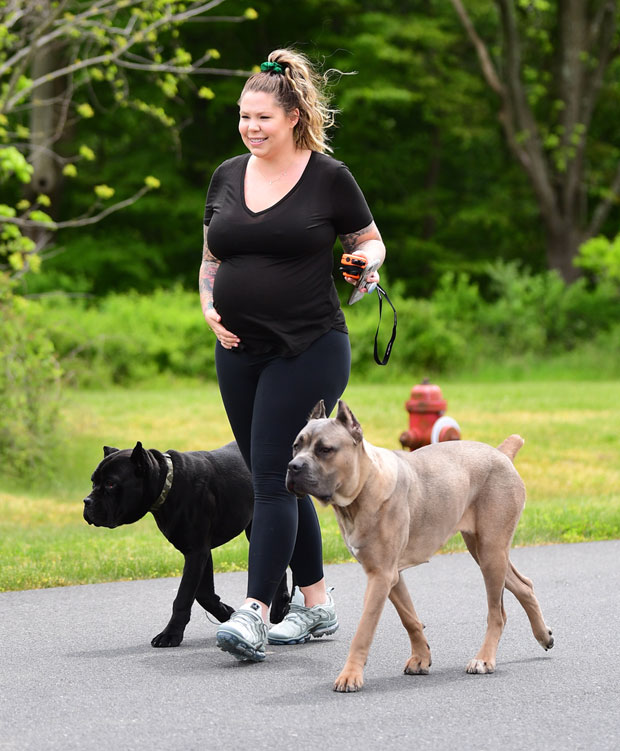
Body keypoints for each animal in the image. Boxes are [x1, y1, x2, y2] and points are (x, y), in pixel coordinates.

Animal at [83, 444, 290, 648]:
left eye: (110, 484)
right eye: (93, 482)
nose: (87, 501)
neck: (167, 483)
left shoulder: (196, 552)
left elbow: (183, 596)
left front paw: (170, 634)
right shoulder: (200, 552)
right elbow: (203, 593)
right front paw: (227, 613)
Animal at [284, 400, 552, 692]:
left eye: (325, 449)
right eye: (296, 446)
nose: (293, 466)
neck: (363, 487)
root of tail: (500, 454)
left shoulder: (380, 576)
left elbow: (364, 630)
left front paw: (350, 675)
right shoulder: (390, 575)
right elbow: (409, 618)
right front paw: (421, 657)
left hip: (491, 552)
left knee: (497, 613)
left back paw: (484, 659)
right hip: (484, 550)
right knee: (523, 585)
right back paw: (543, 635)